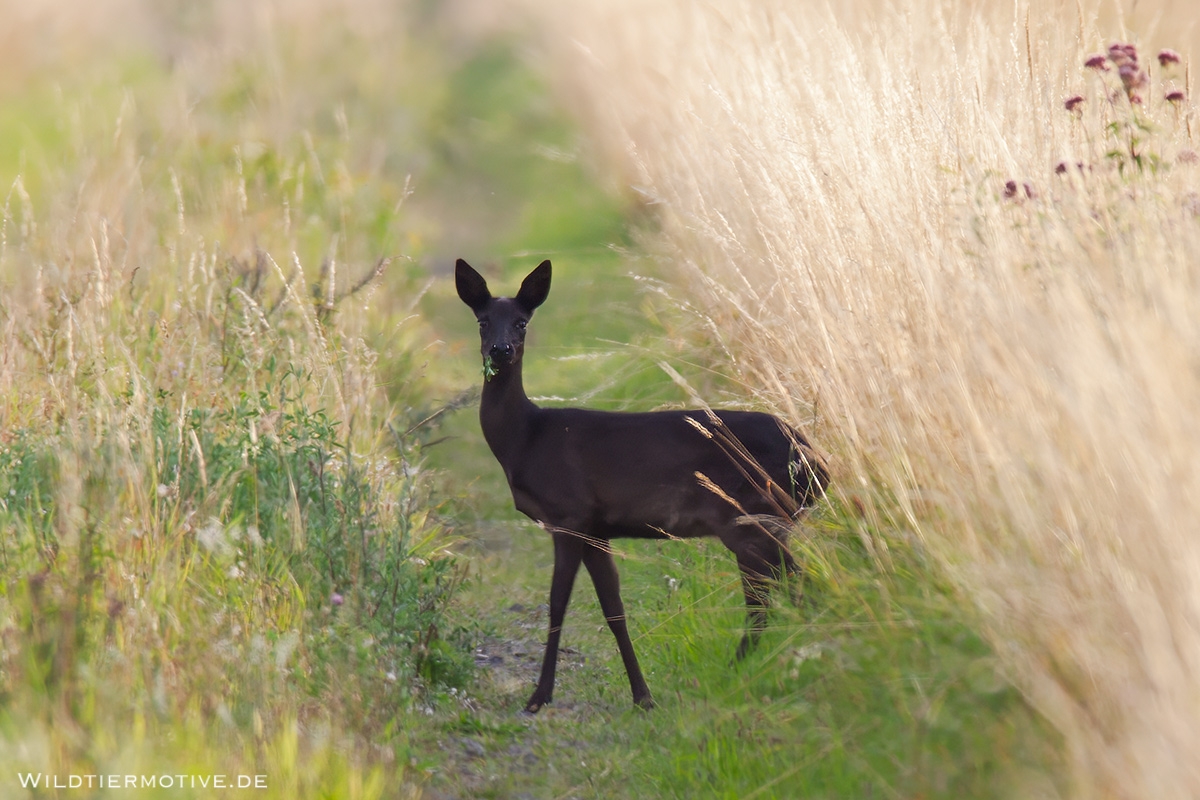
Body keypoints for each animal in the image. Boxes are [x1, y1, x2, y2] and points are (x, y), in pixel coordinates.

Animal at [455, 258, 829, 713]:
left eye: (522, 323)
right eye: (483, 321)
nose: (500, 350)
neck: (524, 440)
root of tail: (816, 462)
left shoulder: (568, 513)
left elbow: (557, 604)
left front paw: (538, 697)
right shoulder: (596, 527)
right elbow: (613, 609)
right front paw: (642, 696)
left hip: (753, 517)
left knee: (783, 591)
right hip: (762, 522)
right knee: (780, 592)